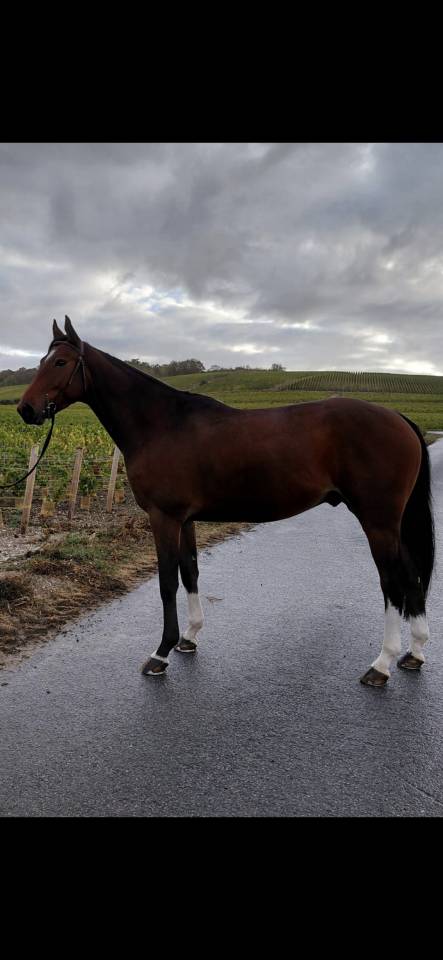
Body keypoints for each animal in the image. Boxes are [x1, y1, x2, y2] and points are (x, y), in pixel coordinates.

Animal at [17, 316, 435, 687]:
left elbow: (167, 581)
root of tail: (398, 417)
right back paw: (414, 653)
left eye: (60, 362)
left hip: (377, 521)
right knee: (412, 574)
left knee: (392, 581)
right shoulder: (185, 519)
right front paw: (189, 638)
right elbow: (190, 572)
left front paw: (160, 653)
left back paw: (381, 665)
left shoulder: (164, 517)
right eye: (40, 361)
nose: (25, 409)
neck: (161, 424)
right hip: (390, 524)